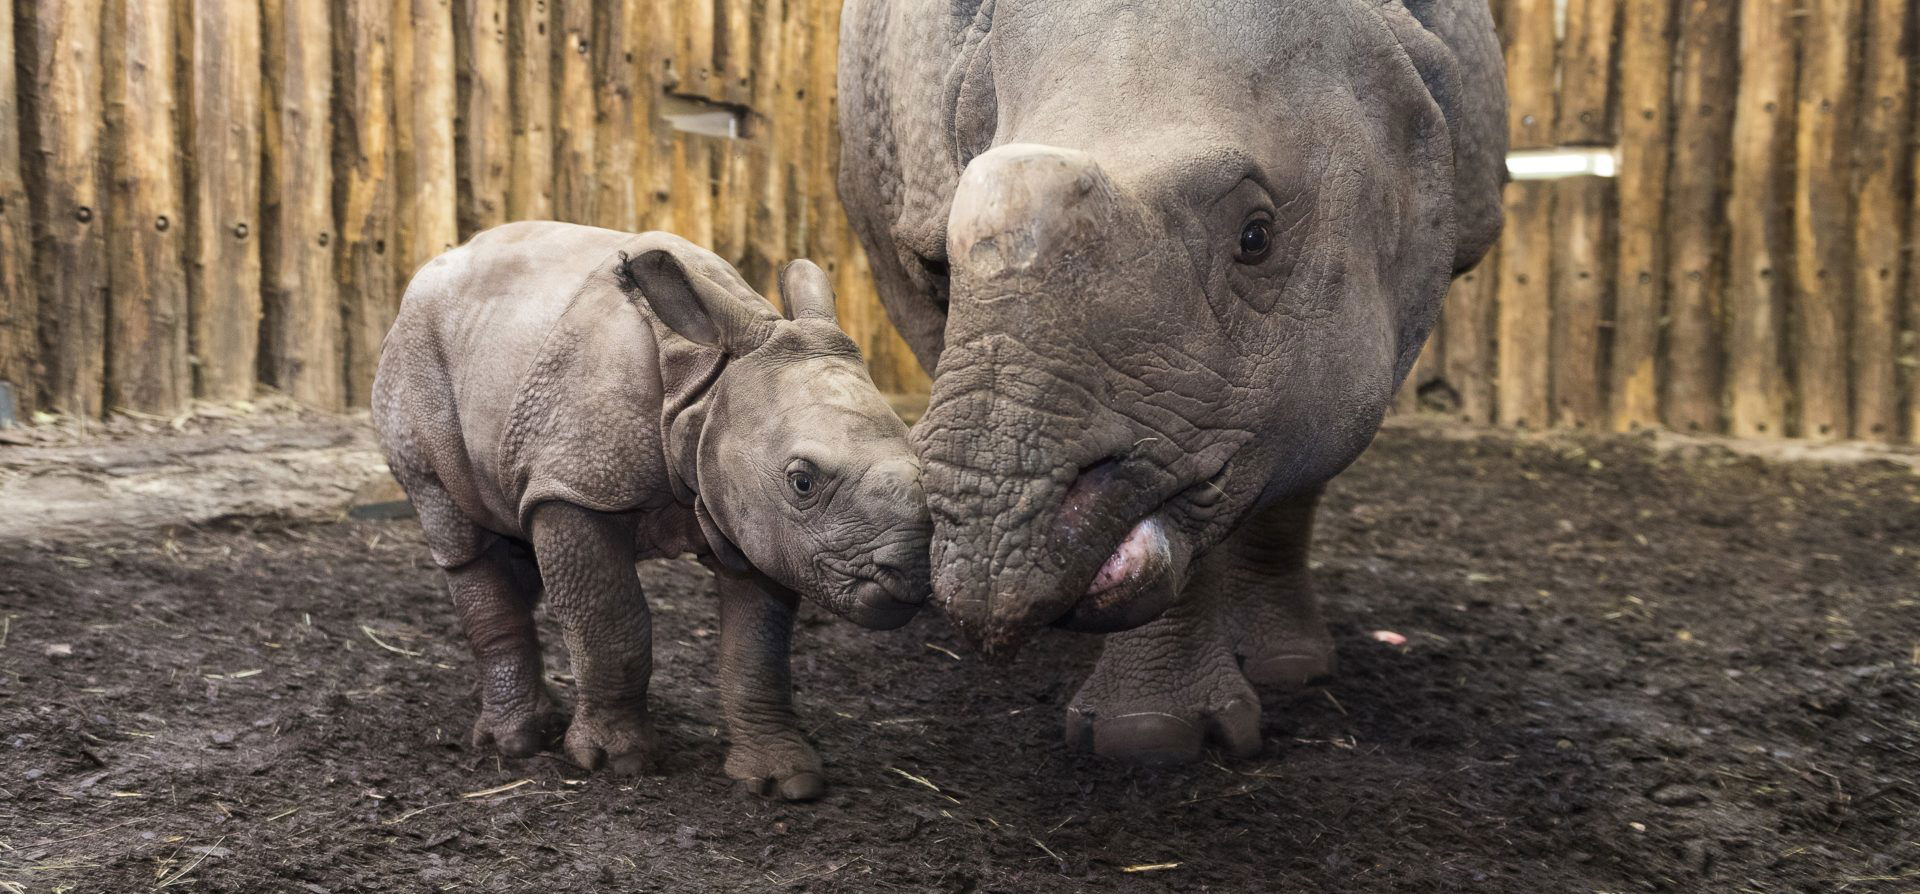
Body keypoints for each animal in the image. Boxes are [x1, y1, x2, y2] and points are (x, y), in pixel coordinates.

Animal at [368, 221, 929, 798]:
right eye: (802, 481)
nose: (909, 573)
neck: (707, 384)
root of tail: (429, 271)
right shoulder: (575, 486)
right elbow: (612, 624)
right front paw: (618, 761)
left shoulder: (757, 523)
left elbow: (759, 648)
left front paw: (783, 780)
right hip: (414, 358)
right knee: (459, 534)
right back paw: (517, 744)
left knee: (512, 525)